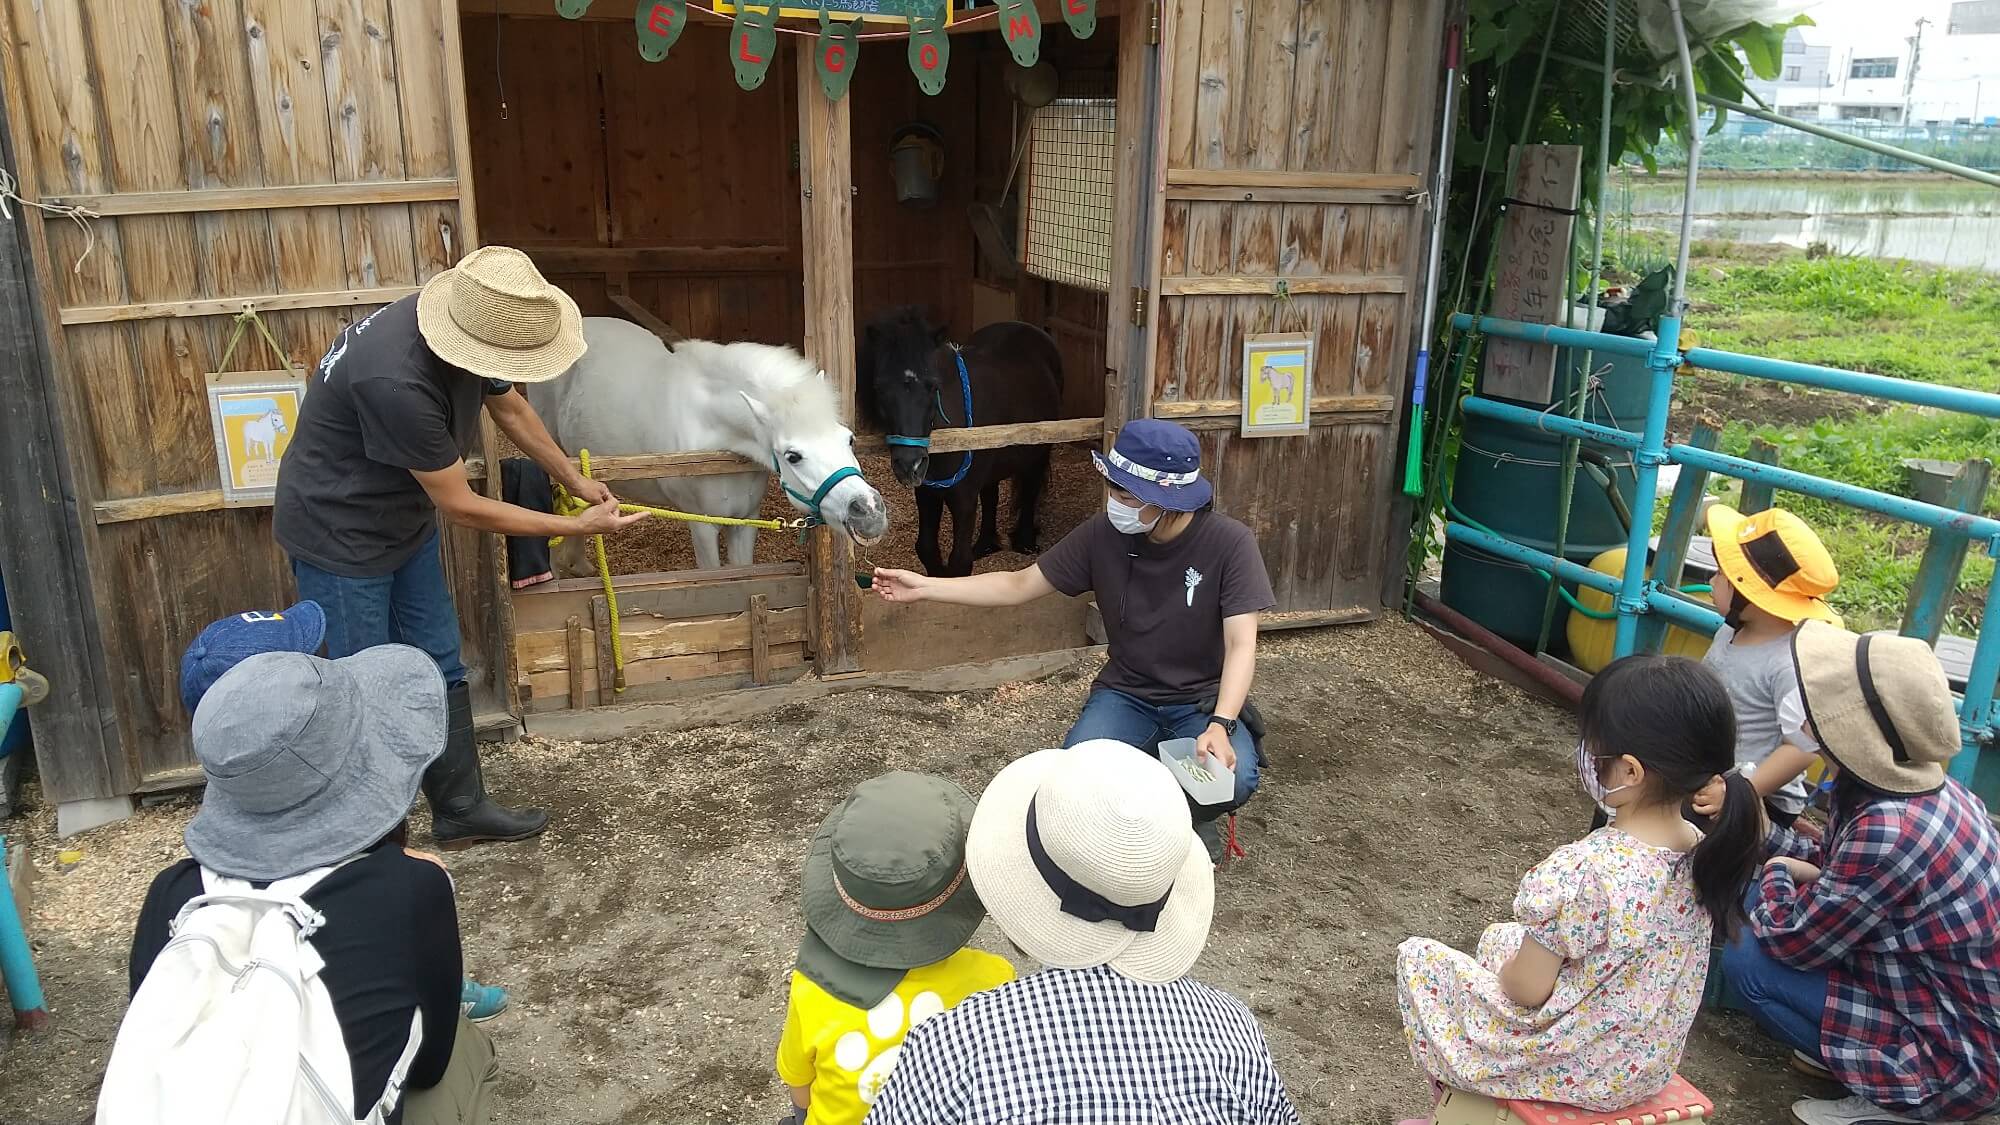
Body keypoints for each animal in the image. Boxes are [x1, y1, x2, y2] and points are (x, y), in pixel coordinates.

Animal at [528, 320, 888, 572]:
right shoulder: (702, 524)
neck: (715, 440)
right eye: (793, 456)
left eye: (849, 439)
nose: (869, 511)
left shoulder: (746, 520)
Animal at [868, 304, 1072, 572]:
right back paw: (985, 544)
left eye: (932, 387)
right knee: (991, 494)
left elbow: (960, 561)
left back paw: (1025, 542)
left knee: (1030, 488)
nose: (910, 465)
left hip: (1039, 451)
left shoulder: (963, 498)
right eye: (879, 389)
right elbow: (926, 548)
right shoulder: (928, 493)